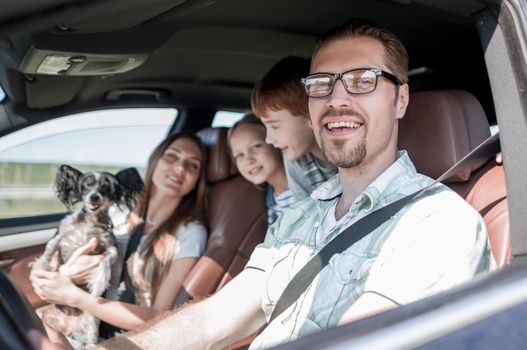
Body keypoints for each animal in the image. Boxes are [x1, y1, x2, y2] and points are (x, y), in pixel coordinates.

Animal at [33, 165, 144, 348]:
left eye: (106, 187)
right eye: (86, 185)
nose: (94, 196)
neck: (90, 223)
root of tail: (70, 328)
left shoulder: (111, 249)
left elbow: (105, 263)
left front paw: (98, 282)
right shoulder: (60, 236)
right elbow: (48, 250)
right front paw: (40, 267)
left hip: (91, 323)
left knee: (91, 340)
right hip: (46, 316)